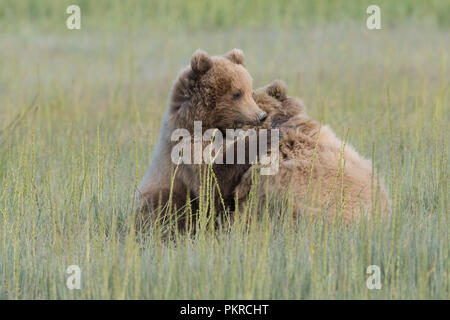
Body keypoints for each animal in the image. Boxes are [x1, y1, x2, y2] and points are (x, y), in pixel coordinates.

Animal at [135, 48, 270, 232]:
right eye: (237, 93)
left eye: (251, 92)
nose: (261, 115)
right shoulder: (186, 149)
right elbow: (212, 180)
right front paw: (263, 137)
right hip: (162, 191)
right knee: (165, 208)